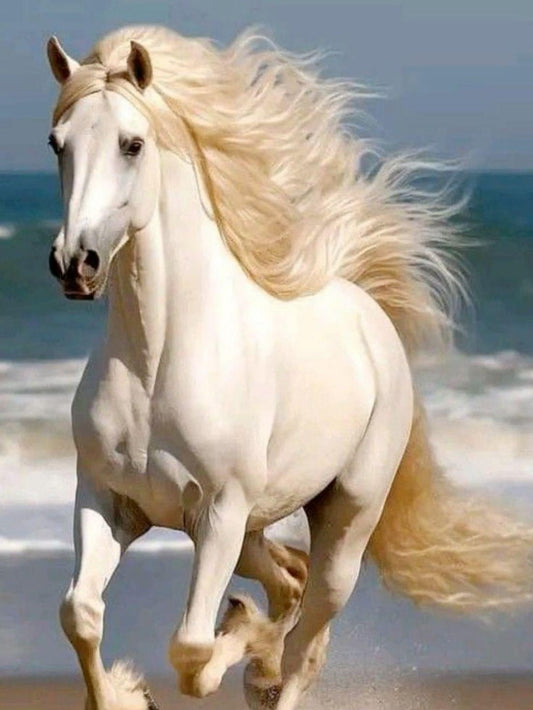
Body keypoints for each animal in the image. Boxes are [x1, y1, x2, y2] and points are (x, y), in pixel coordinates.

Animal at [45, 25, 532, 710]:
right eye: (57, 143)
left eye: (132, 144)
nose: (76, 263)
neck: (156, 364)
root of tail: (365, 311)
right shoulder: (107, 500)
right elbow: (81, 615)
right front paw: (123, 693)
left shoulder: (218, 514)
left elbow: (192, 652)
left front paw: (239, 647)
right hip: (254, 530)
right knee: (289, 582)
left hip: (344, 523)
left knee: (308, 630)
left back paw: (266, 660)